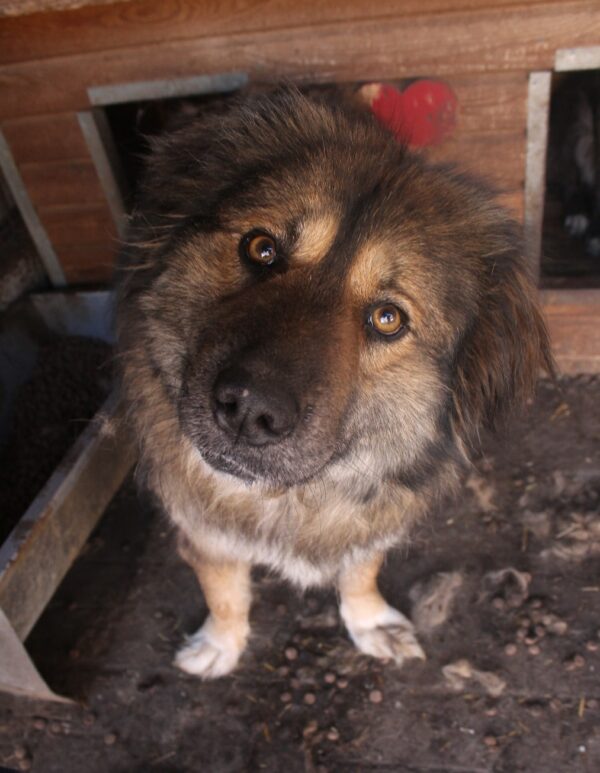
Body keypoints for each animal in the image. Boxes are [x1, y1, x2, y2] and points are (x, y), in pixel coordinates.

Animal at [115, 89, 556, 676]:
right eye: (260, 248)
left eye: (388, 318)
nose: (249, 410)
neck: (293, 499)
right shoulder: (201, 526)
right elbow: (223, 587)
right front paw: (222, 642)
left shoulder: (374, 521)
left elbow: (360, 570)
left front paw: (369, 622)